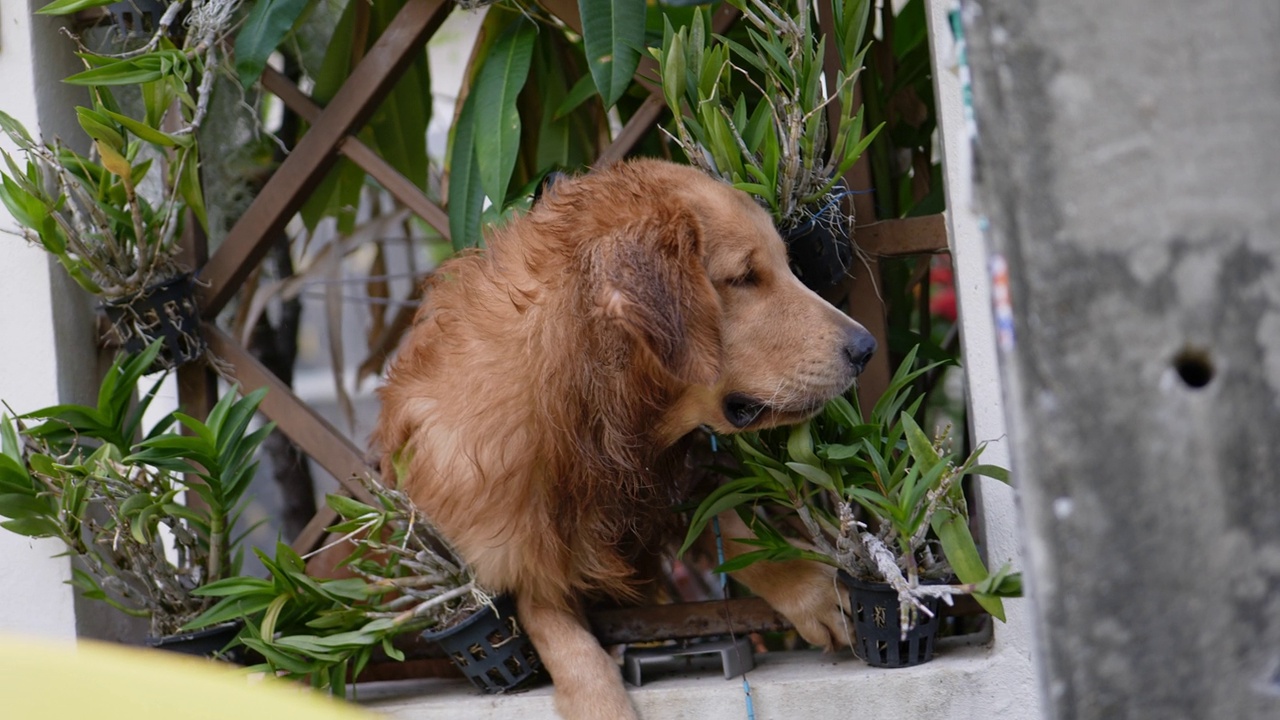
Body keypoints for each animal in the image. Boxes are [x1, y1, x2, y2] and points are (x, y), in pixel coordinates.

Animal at [373, 158, 880, 717]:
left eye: (786, 265)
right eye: (744, 277)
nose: (867, 348)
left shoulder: (661, 481)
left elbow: (728, 523)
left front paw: (809, 585)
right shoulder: (514, 558)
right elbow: (560, 636)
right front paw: (599, 700)